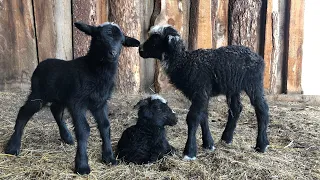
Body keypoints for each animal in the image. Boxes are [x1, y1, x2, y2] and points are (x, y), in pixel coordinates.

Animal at [4, 21, 140, 174]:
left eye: (122, 42)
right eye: (99, 38)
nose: (113, 53)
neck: (94, 70)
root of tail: (41, 64)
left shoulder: (100, 103)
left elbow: (105, 126)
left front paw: (109, 157)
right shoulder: (77, 102)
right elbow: (84, 129)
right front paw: (82, 165)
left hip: (60, 96)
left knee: (55, 110)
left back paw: (67, 137)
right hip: (38, 94)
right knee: (24, 112)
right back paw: (13, 146)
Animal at [139, 25, 270, 160]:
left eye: (155, 40)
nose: (140, 50)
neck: (184, 63)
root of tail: (258, 57)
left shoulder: (200, 91)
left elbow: (193, 118)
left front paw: (189, 152)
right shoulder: (201, 94)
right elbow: (203, 116)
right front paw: (209, 144)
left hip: (254, 83)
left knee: (262, 109)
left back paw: (262, 145)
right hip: (233, 87)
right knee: (236, 108)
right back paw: (226, 138)